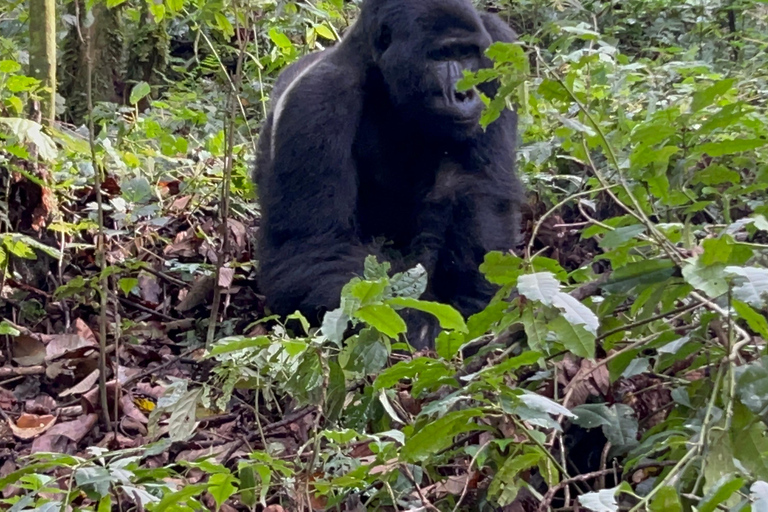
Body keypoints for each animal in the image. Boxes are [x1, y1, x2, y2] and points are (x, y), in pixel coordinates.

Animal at [255, 0, 524, 348]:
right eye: (440, 56)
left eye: (466, 54)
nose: (464, 93)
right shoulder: (315, 100)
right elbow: (311, 248)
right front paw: (416, 324)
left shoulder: (498, 44)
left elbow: (479, 190)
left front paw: (478, 303)